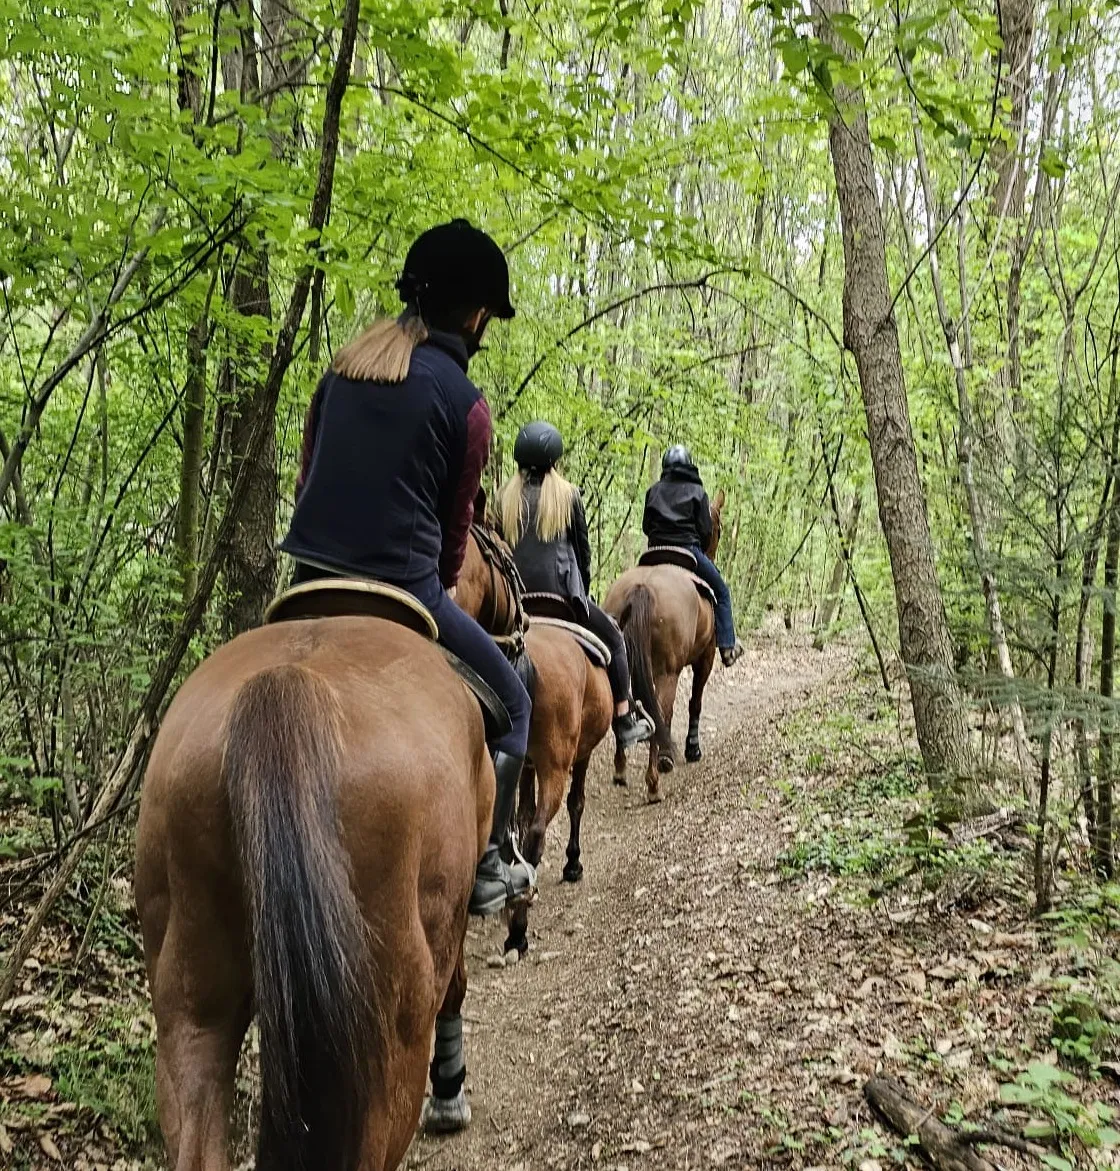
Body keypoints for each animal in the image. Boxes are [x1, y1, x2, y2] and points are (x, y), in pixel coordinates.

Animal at [603, 489, 725, 802]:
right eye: (718, 528)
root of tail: (642, 588)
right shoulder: (705, 657)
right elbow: (694, 701)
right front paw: (691, 748)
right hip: (667, 671)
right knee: (662, 708)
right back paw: (654, 781)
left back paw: (620, 770)